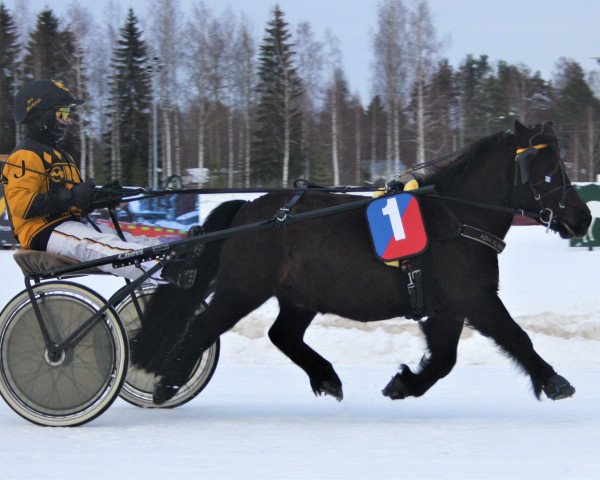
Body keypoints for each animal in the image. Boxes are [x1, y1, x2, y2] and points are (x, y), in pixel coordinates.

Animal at [132, 122, 592, 406]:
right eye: (548, 172)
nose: (583, 217)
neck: (457, 217)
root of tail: (248, 209)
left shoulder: (447, 308)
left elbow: (444, 359)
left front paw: (404, 384)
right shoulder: (475, 298)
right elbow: (515, 337)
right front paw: (555, 381)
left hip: (299, 297)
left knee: (283, 334)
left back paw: (326, 377)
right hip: (241, 289)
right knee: (202, 328)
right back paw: (168, 384)